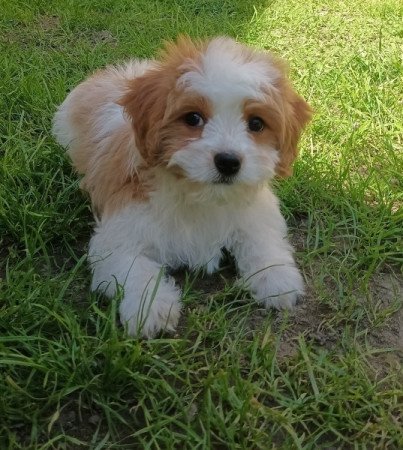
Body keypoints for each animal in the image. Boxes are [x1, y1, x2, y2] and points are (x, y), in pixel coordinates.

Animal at [53, 36, 312, 338]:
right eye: (193, 118)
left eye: (256, 123)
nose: (228, 162)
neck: (199, 196)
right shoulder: (118, 234)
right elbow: (135, 267)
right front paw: (150, 307)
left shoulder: (255, 209)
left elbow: (262, 236)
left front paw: (276, 276)